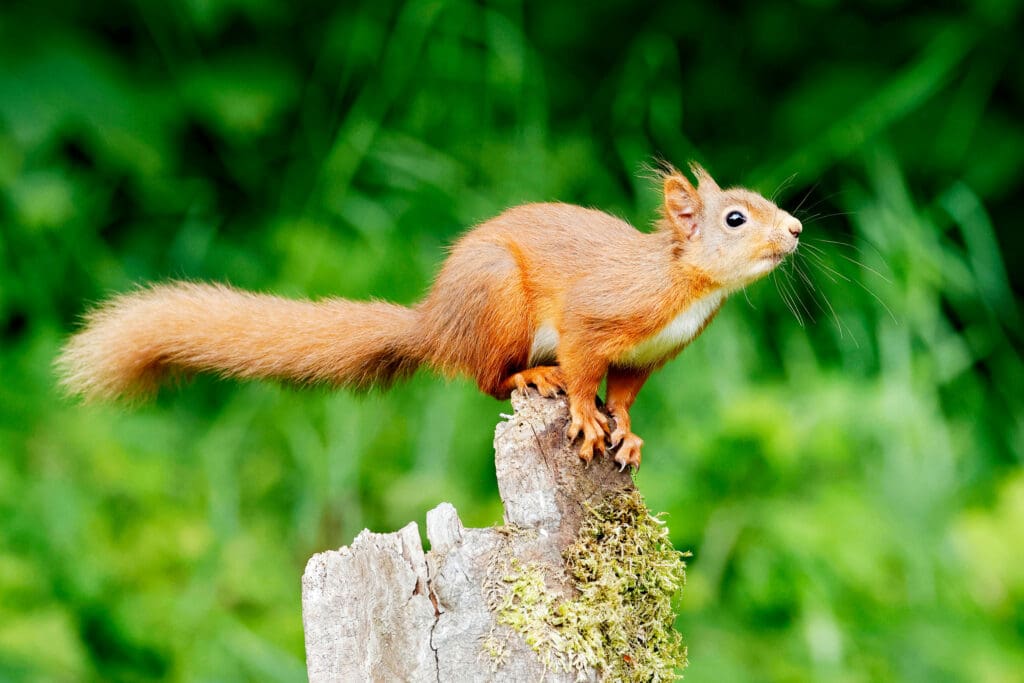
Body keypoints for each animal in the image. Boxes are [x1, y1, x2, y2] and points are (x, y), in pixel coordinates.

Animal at [59, 162, 802, 471]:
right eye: (735, 219)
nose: (795, 230)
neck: (683, 287)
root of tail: (435, 323)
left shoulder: (648, 358)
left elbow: (623, 394)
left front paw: (627, 433)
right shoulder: (596, 319)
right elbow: (585, 368)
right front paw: (587, 419)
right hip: (500, 302)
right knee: (485, 377)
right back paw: (532, 379)